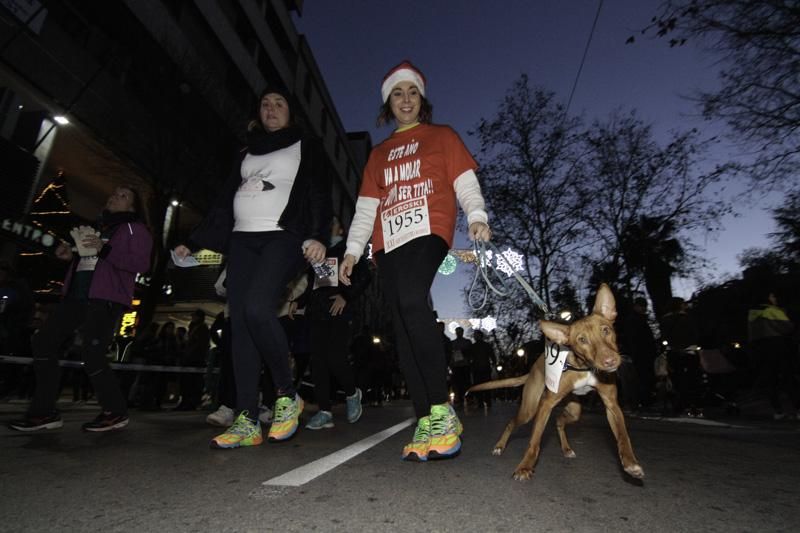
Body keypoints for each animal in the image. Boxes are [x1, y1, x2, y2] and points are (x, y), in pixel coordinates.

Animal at [468, 284, 644, 480]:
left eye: (606, 330)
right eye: (581, 340)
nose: (610, 361)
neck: (585, 367)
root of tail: (532, 369)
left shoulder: (612, 404)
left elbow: (623, 436)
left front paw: (630, 463)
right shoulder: (546, 404)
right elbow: (534, 442)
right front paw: (525, 467)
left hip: (574, 408)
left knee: (560, 421)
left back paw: (566, 449)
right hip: (530, 409)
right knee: (512, 422)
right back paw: (500, 446)